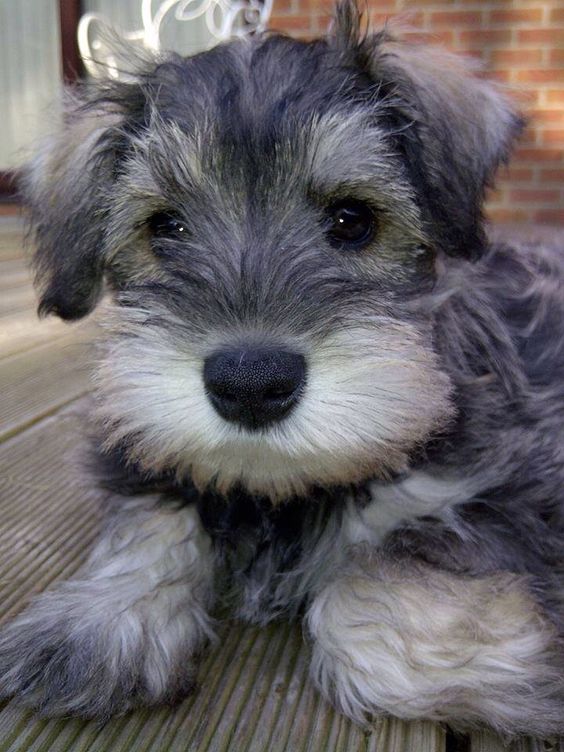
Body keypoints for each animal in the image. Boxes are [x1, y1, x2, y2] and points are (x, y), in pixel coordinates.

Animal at [1, 0, 564, 736]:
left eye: (352, 219)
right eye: (165, 227)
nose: (250, 383)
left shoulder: (515, 492)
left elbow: (364, 611)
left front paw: (531, 677)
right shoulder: (135, 448)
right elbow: (151, 516)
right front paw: (98, 617)